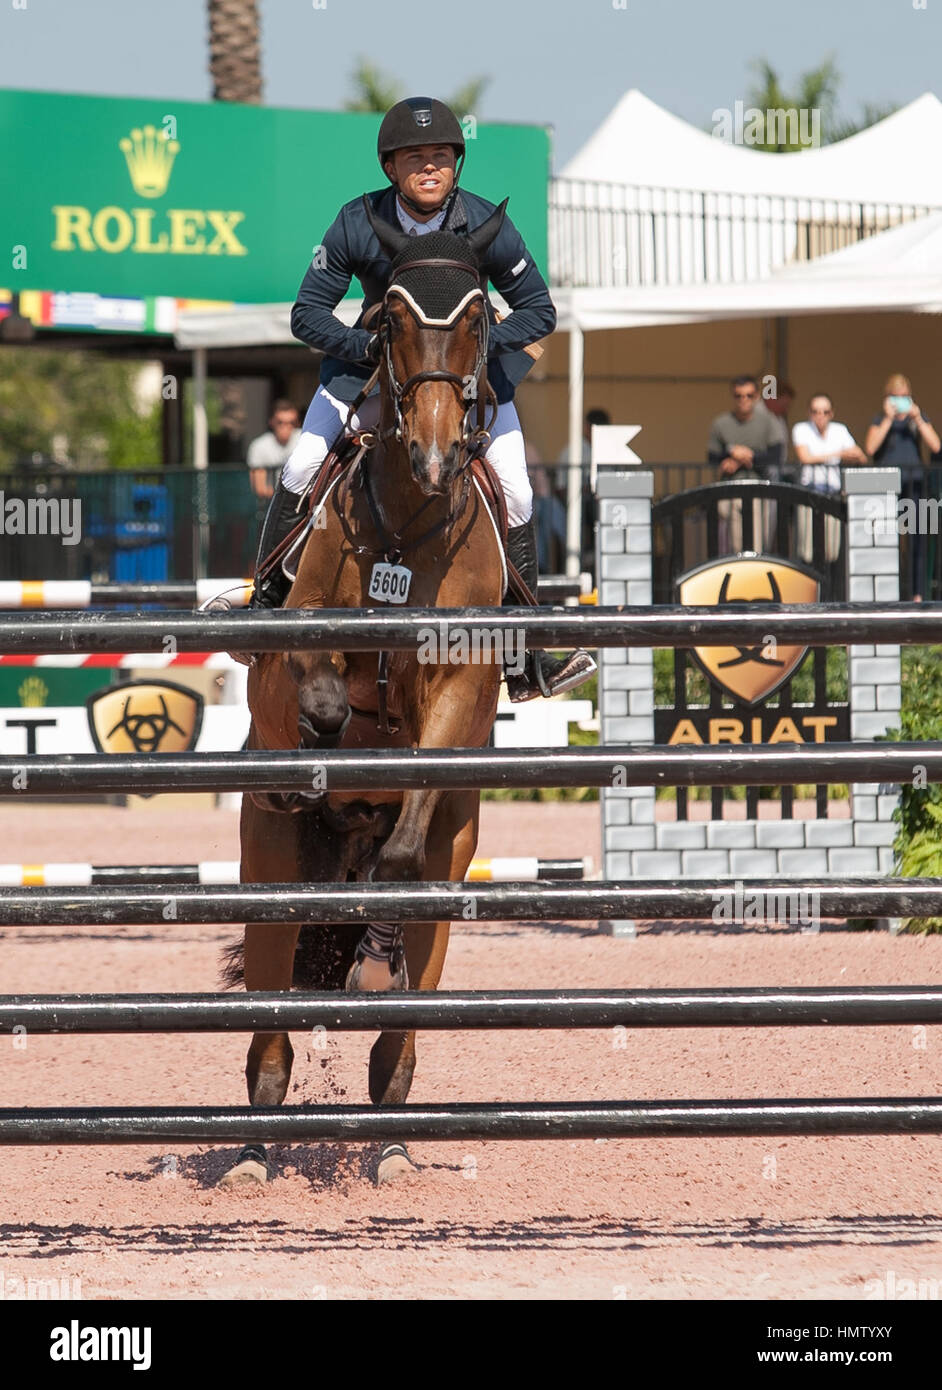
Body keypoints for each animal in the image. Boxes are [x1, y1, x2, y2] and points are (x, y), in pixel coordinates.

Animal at [218, 201, 514, 1189]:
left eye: (479, 318)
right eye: (386, 319)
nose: (433, 454)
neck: (407, 524)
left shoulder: (460, 687)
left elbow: (413, 809)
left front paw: (375, 940)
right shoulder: (286, 658)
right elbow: (311, 693)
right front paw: (322, 732)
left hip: (445, 900)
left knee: (398, 1036)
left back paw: (386, 1143)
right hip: (269, 876)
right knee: (267, 1038)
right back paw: (250, 1158)